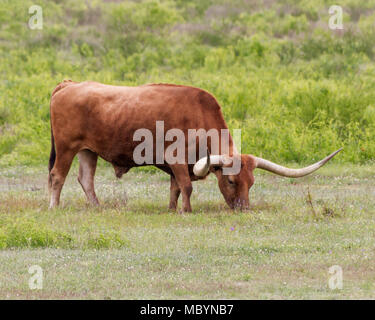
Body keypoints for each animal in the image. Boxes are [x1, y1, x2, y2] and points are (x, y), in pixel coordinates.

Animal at [48, 79, 342, 211]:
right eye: (231, 181)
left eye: (252, 182)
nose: (244, 209)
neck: (200, 119)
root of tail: (69, 84)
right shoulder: (176, 159)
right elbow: (187, 186)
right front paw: (186, 212)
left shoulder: (179, 166)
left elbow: (176, 188)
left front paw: (171, 209)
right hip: (66, 148)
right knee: (57, 176)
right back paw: (54, 206)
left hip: (88, 151)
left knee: (86, 179)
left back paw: (97, 207)